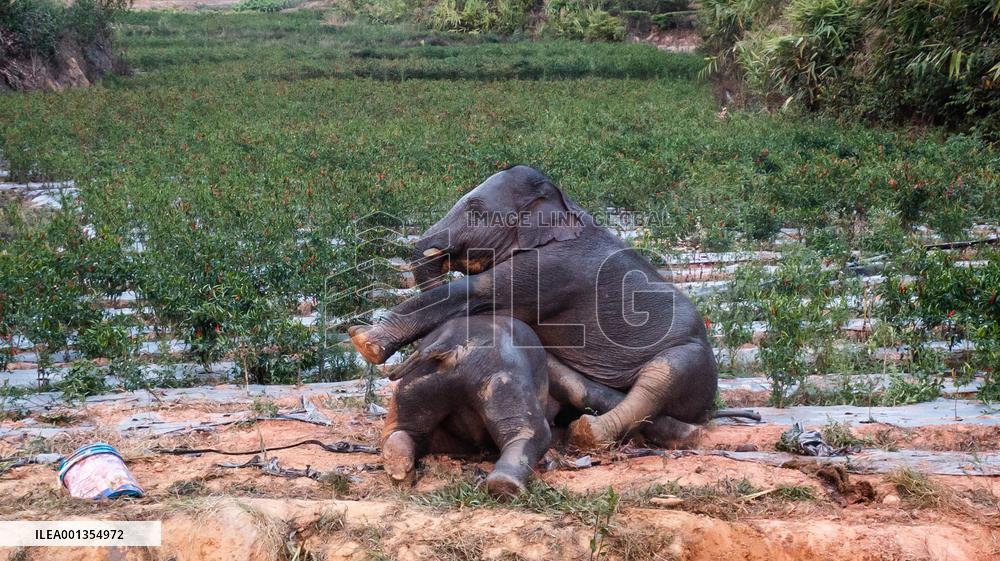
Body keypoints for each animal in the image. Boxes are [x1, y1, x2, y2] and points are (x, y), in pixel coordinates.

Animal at [351, 165, 720, 449]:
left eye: (477, 212)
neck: (562, 202)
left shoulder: (553, 269)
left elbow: (476, 293)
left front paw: (363, 341)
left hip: (693, 359)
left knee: (659, 380)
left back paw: (589, 433)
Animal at [381, 314, 552, 497]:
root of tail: (449, 342)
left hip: (416, 384)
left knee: (403, 431)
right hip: (505, 378)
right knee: (531, 432)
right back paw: (505, 486)